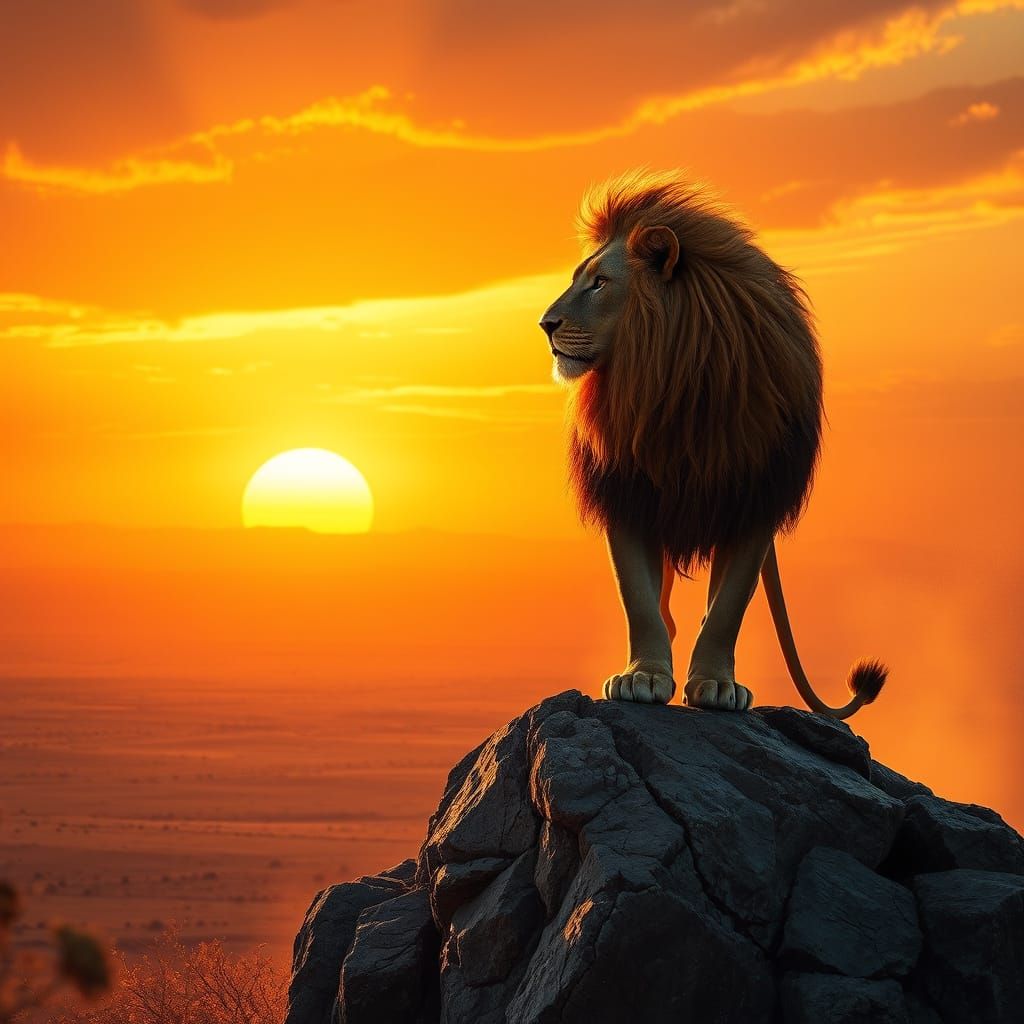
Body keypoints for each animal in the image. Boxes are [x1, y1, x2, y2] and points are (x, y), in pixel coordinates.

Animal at [538, 169, 887, 719]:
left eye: (600, 283)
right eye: (579, 278)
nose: (545, 324)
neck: (677, 381)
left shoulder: (755, 492)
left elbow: (727, 607)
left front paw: (717, 686)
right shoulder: (626, 490)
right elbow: (639, 598)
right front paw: (642, 676)